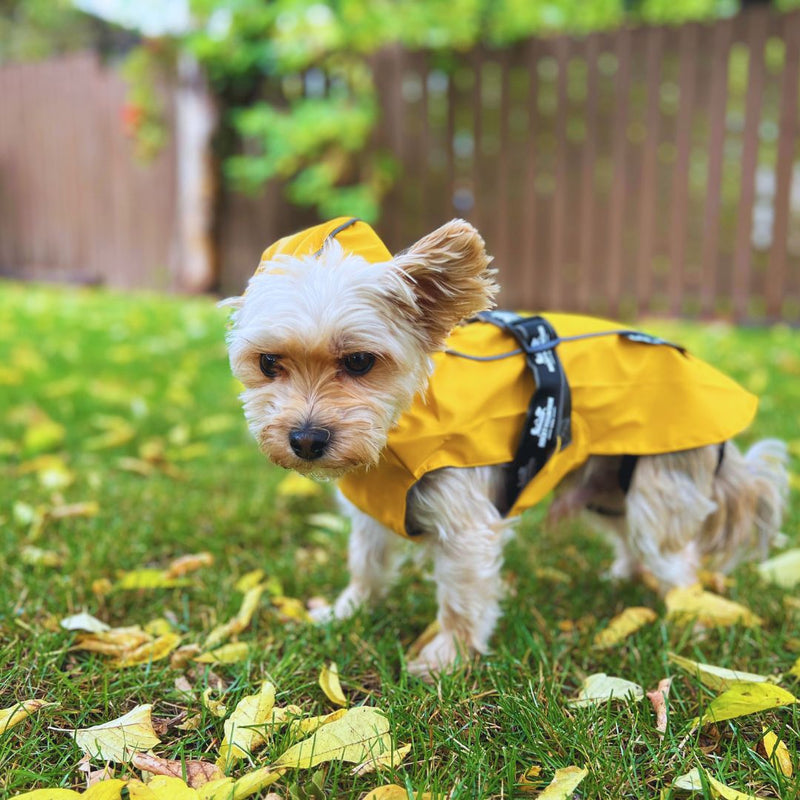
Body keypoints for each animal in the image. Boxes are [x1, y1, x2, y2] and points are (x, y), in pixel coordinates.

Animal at [222, 216, 792, 680]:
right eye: (268, 363)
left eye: (360, 361)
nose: (306, 439)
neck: (396, 433)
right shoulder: (371, 514)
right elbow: (366, 565)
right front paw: (345, 613)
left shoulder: (467, 528)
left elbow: (460, 600)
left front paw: (446, 658)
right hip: (608, 486)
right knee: (631, 537)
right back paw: (627, 577)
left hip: (656, 491)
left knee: (680, 560)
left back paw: (692, 620)